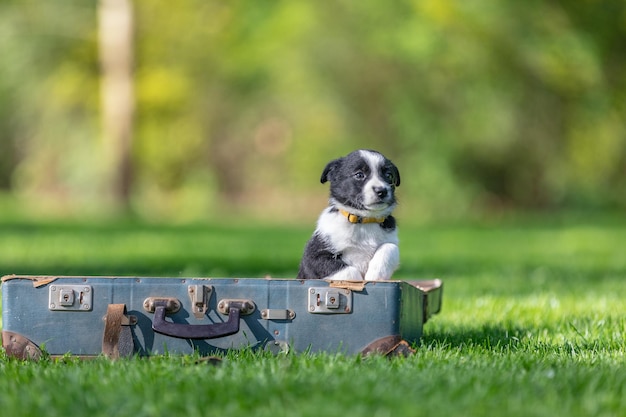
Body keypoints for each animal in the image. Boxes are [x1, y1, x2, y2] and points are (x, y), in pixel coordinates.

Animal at [296, 149, 400, 280]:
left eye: (389, 175)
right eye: (359, 175)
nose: (382, 191)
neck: (364, 220)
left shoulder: (391, 239)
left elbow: (390, 247)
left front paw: (376, 275)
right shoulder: (313, 255)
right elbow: (348, 271)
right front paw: (359, 282)